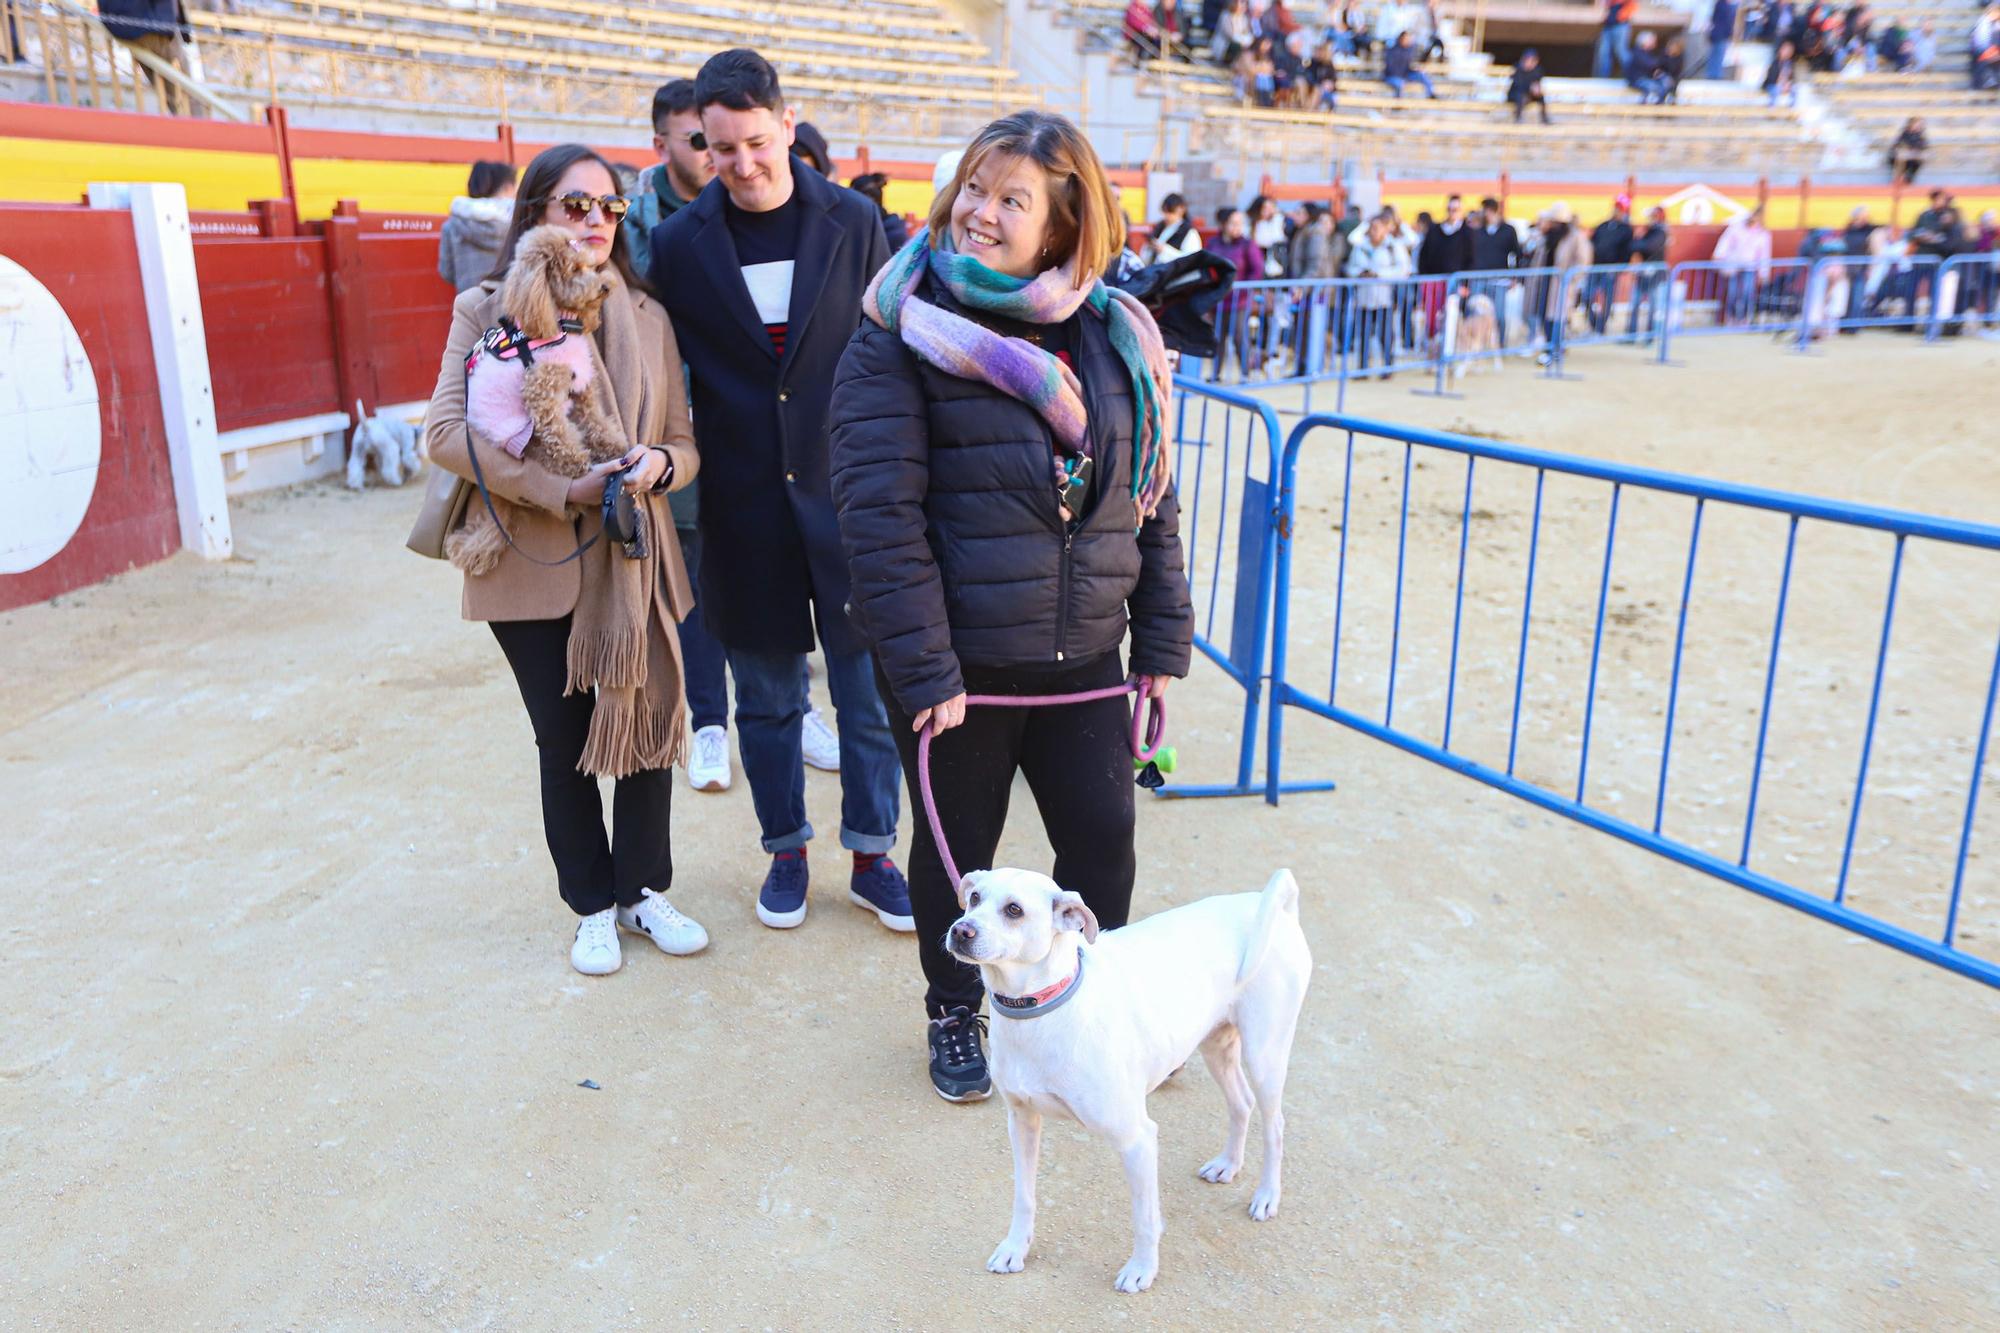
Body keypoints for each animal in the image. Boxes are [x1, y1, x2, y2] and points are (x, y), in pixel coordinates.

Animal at [948, 860, 1312, 1288]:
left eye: (1014, 910)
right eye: (974, 898)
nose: (961, 929)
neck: (1042, 1007)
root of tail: (1279, 910)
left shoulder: (1137, 1139)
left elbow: (1144, 1217)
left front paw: (1141, 1270)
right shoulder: (1022, 1122)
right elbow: (1024, 1196)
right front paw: (1014, 1249)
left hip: (1264, 1054)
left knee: (1275, 1124)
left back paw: (1267, 1195)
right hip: (1215, 1045)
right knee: (1242, 1102)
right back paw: (1228, 1164)